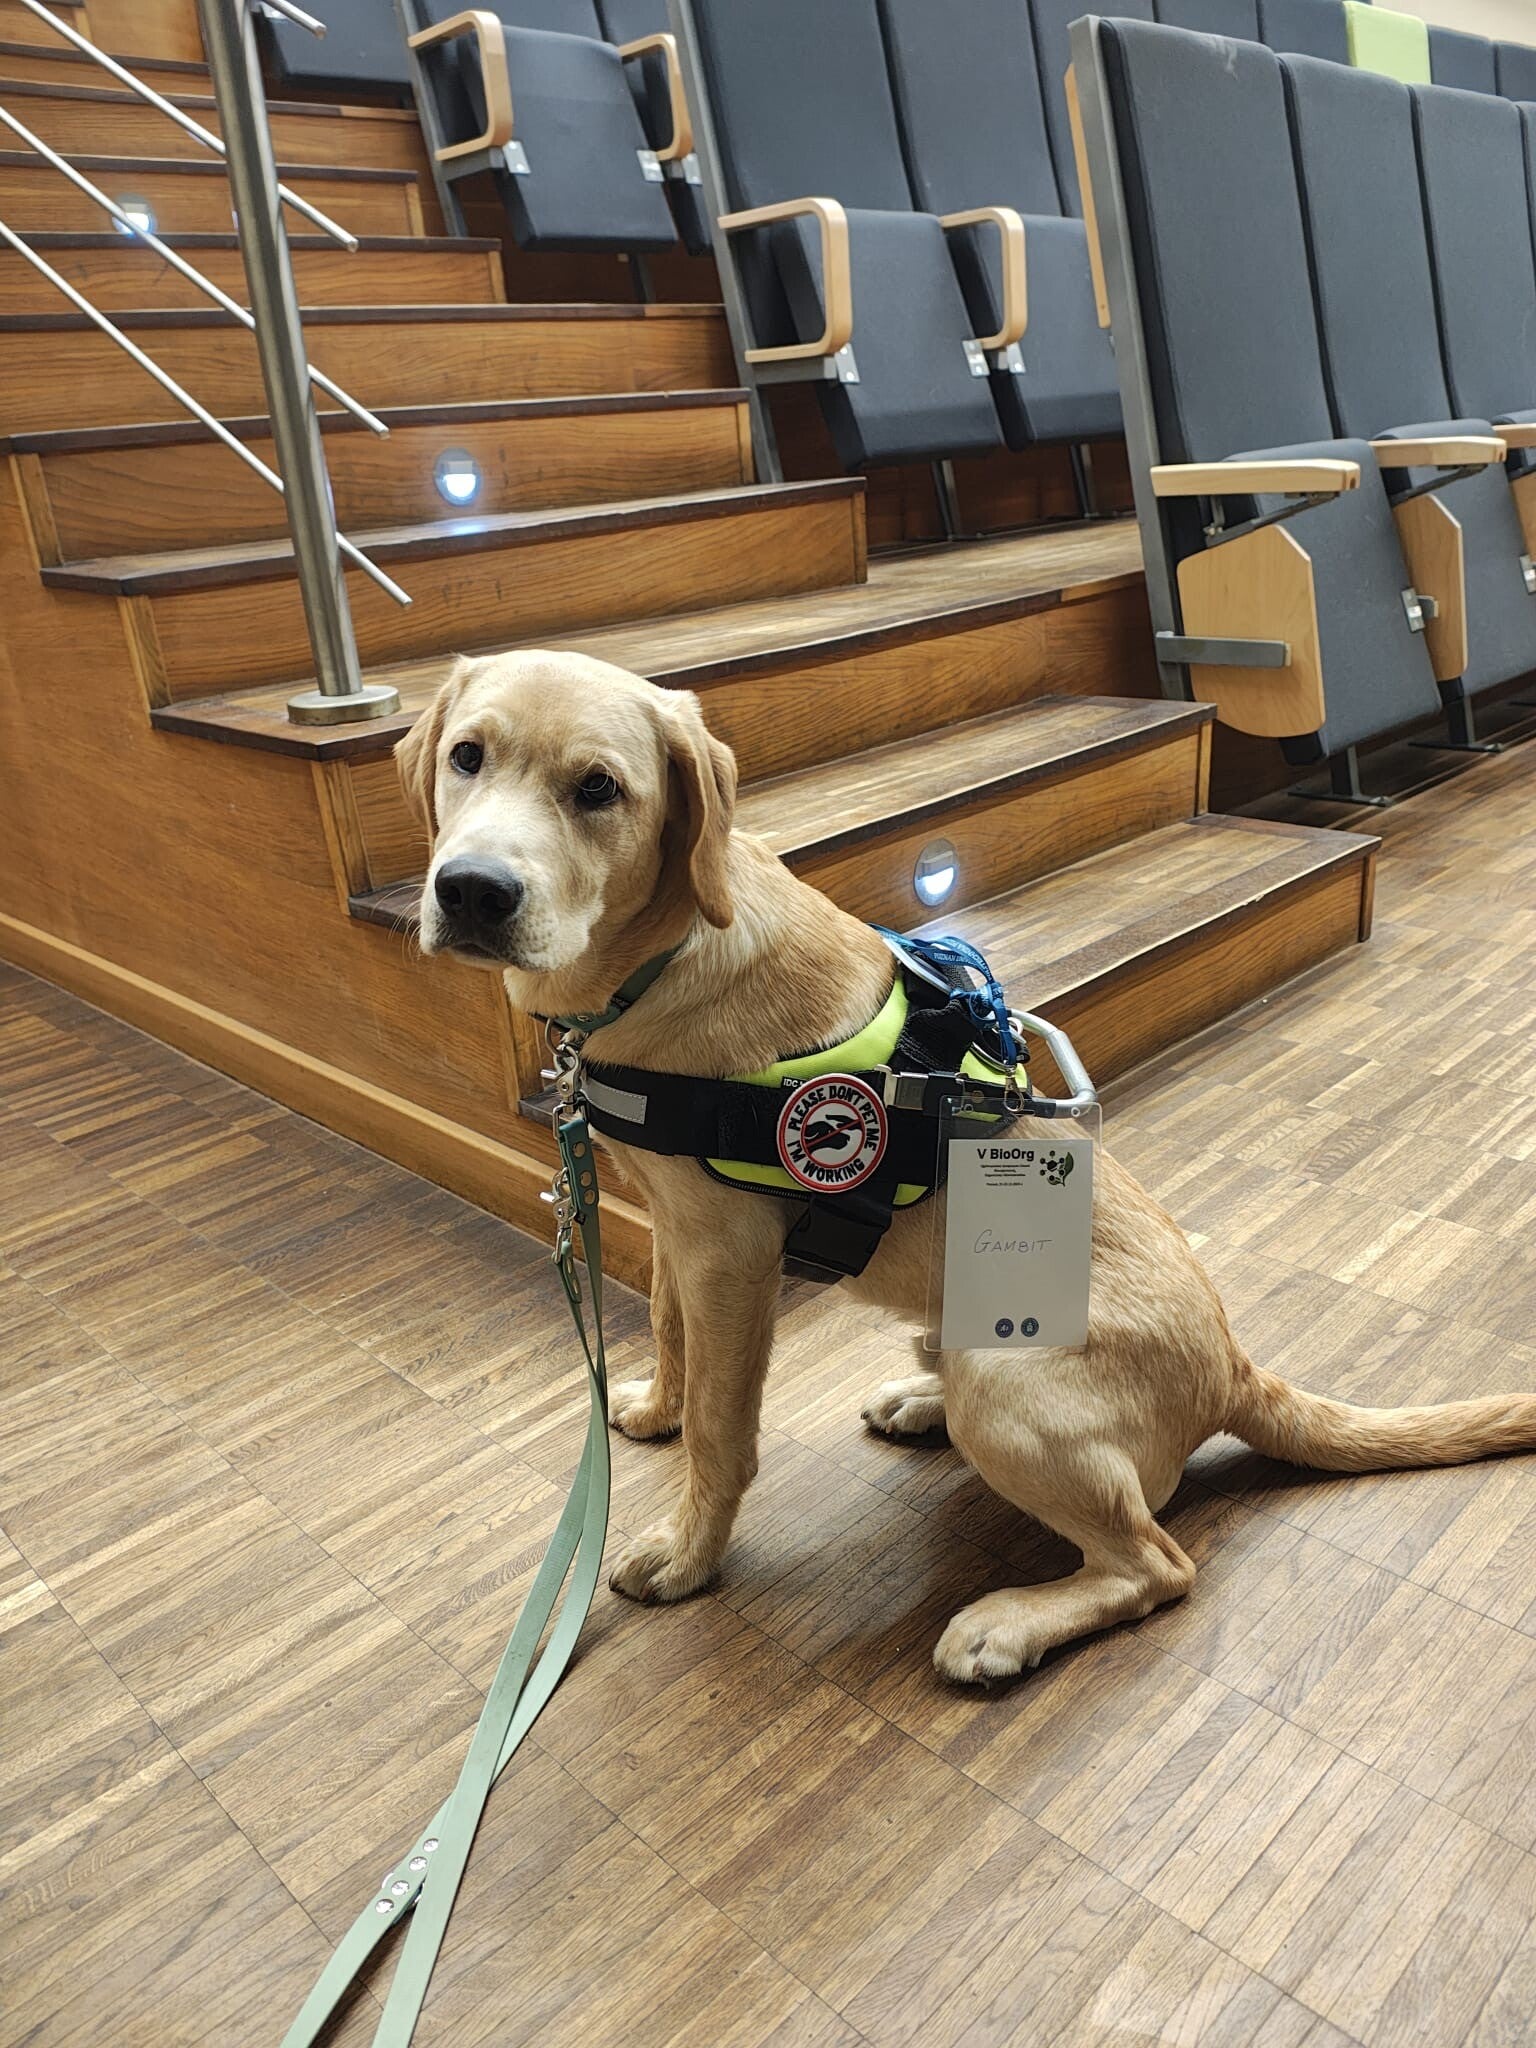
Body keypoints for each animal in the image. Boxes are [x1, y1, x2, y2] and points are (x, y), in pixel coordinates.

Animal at [397, 648, 1536, 1683]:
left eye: (599, 789)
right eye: (466, 756)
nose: (473, 891)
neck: (664, 954)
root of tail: (1234, 1368)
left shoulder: (733, 1258)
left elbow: (723, 1433)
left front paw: (688, 1552)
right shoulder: (680, 1231)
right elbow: (672, 1338)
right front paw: (655, 1410)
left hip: (1012, 1383)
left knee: (1158, 1564)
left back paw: (1009, 1624)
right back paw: (919, 1401)